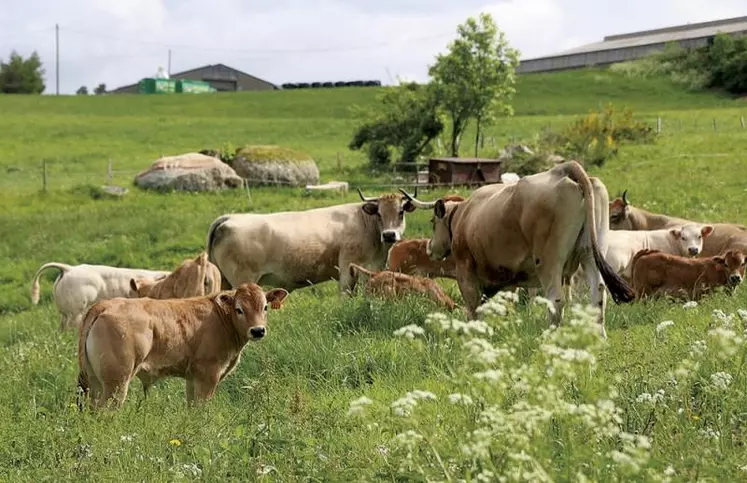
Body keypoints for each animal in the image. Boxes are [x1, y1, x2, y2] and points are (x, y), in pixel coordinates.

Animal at [77, 282, 290, 410]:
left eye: (265, 307)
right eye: (239, 309)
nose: (258, 330)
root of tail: (104, 305)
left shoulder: (193, 377)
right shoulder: (208, 373)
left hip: (95, 382)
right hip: (116, 382)